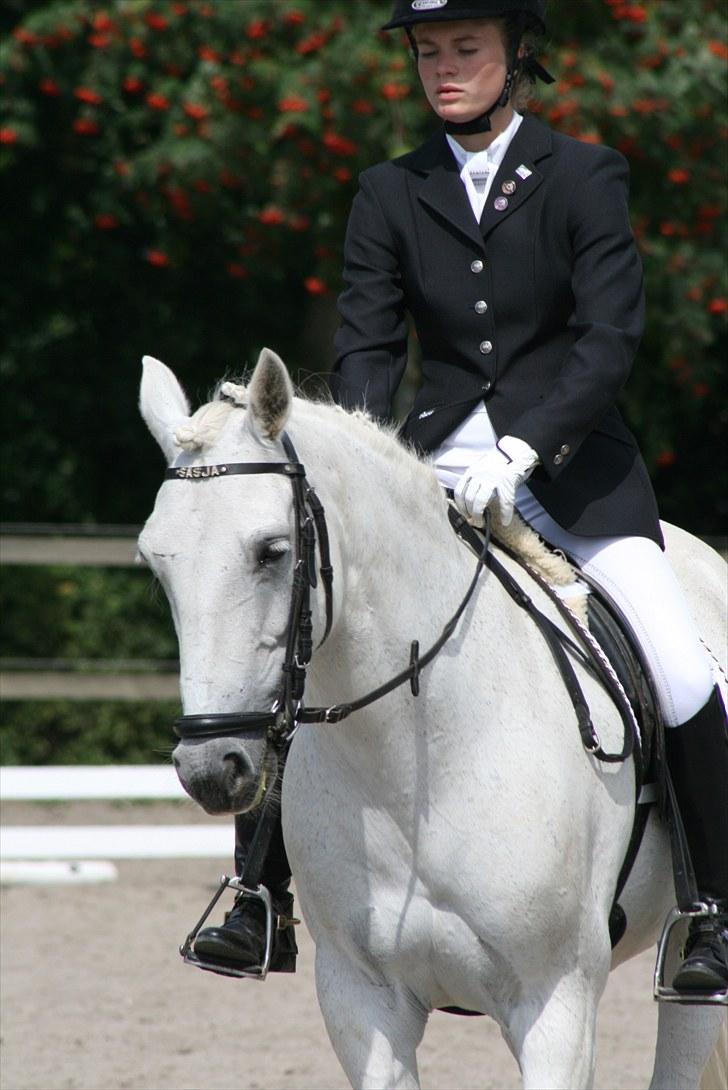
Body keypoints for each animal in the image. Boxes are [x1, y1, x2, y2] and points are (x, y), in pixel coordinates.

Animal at [139, 348, 727, 1090]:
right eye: (155, 562)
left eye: (271, 550)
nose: (210, 770)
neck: (416, 761)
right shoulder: (360, 1000)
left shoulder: (557, 1005)